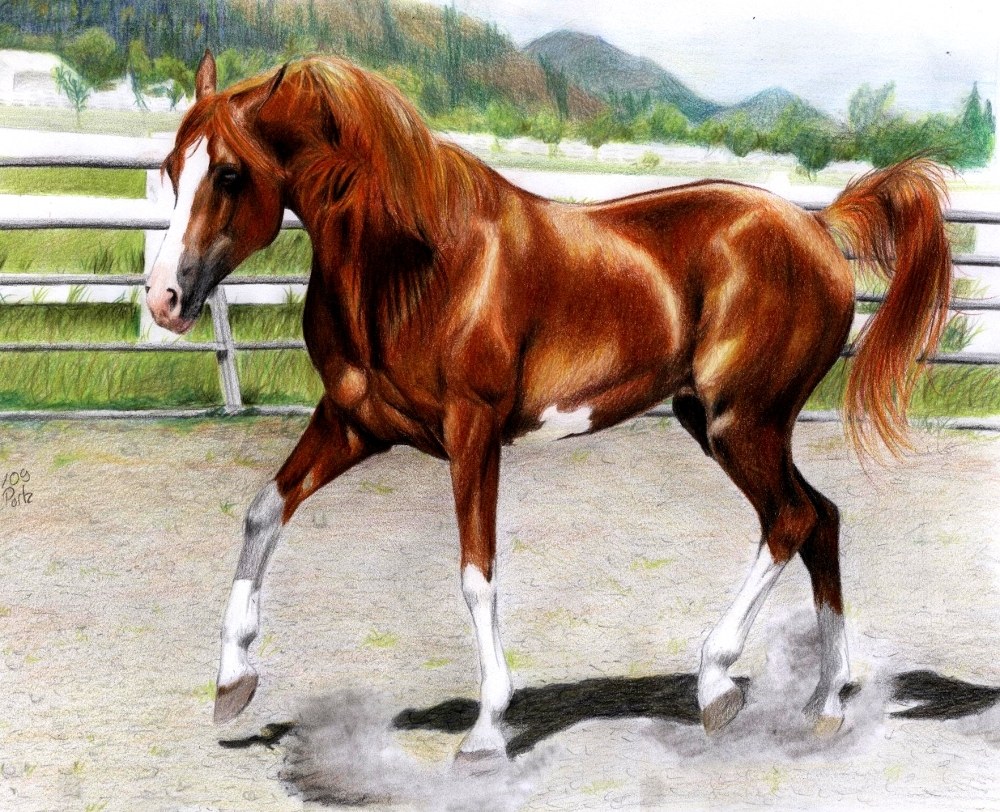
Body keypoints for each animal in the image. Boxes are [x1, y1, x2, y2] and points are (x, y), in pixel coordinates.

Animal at [145, 49, 952, 758]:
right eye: (171, 169)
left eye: (228, 173)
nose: (164, 300)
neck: (415, 267)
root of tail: (817, 225)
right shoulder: (352, 425)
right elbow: (263, 512)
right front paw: (233, 683)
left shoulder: (472, 434)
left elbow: (477, 577)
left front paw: (485, 732)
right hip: (722, 423)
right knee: (822, 520)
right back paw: (826, 701)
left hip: (743, 422)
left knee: (791, 520)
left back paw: (718, 684)